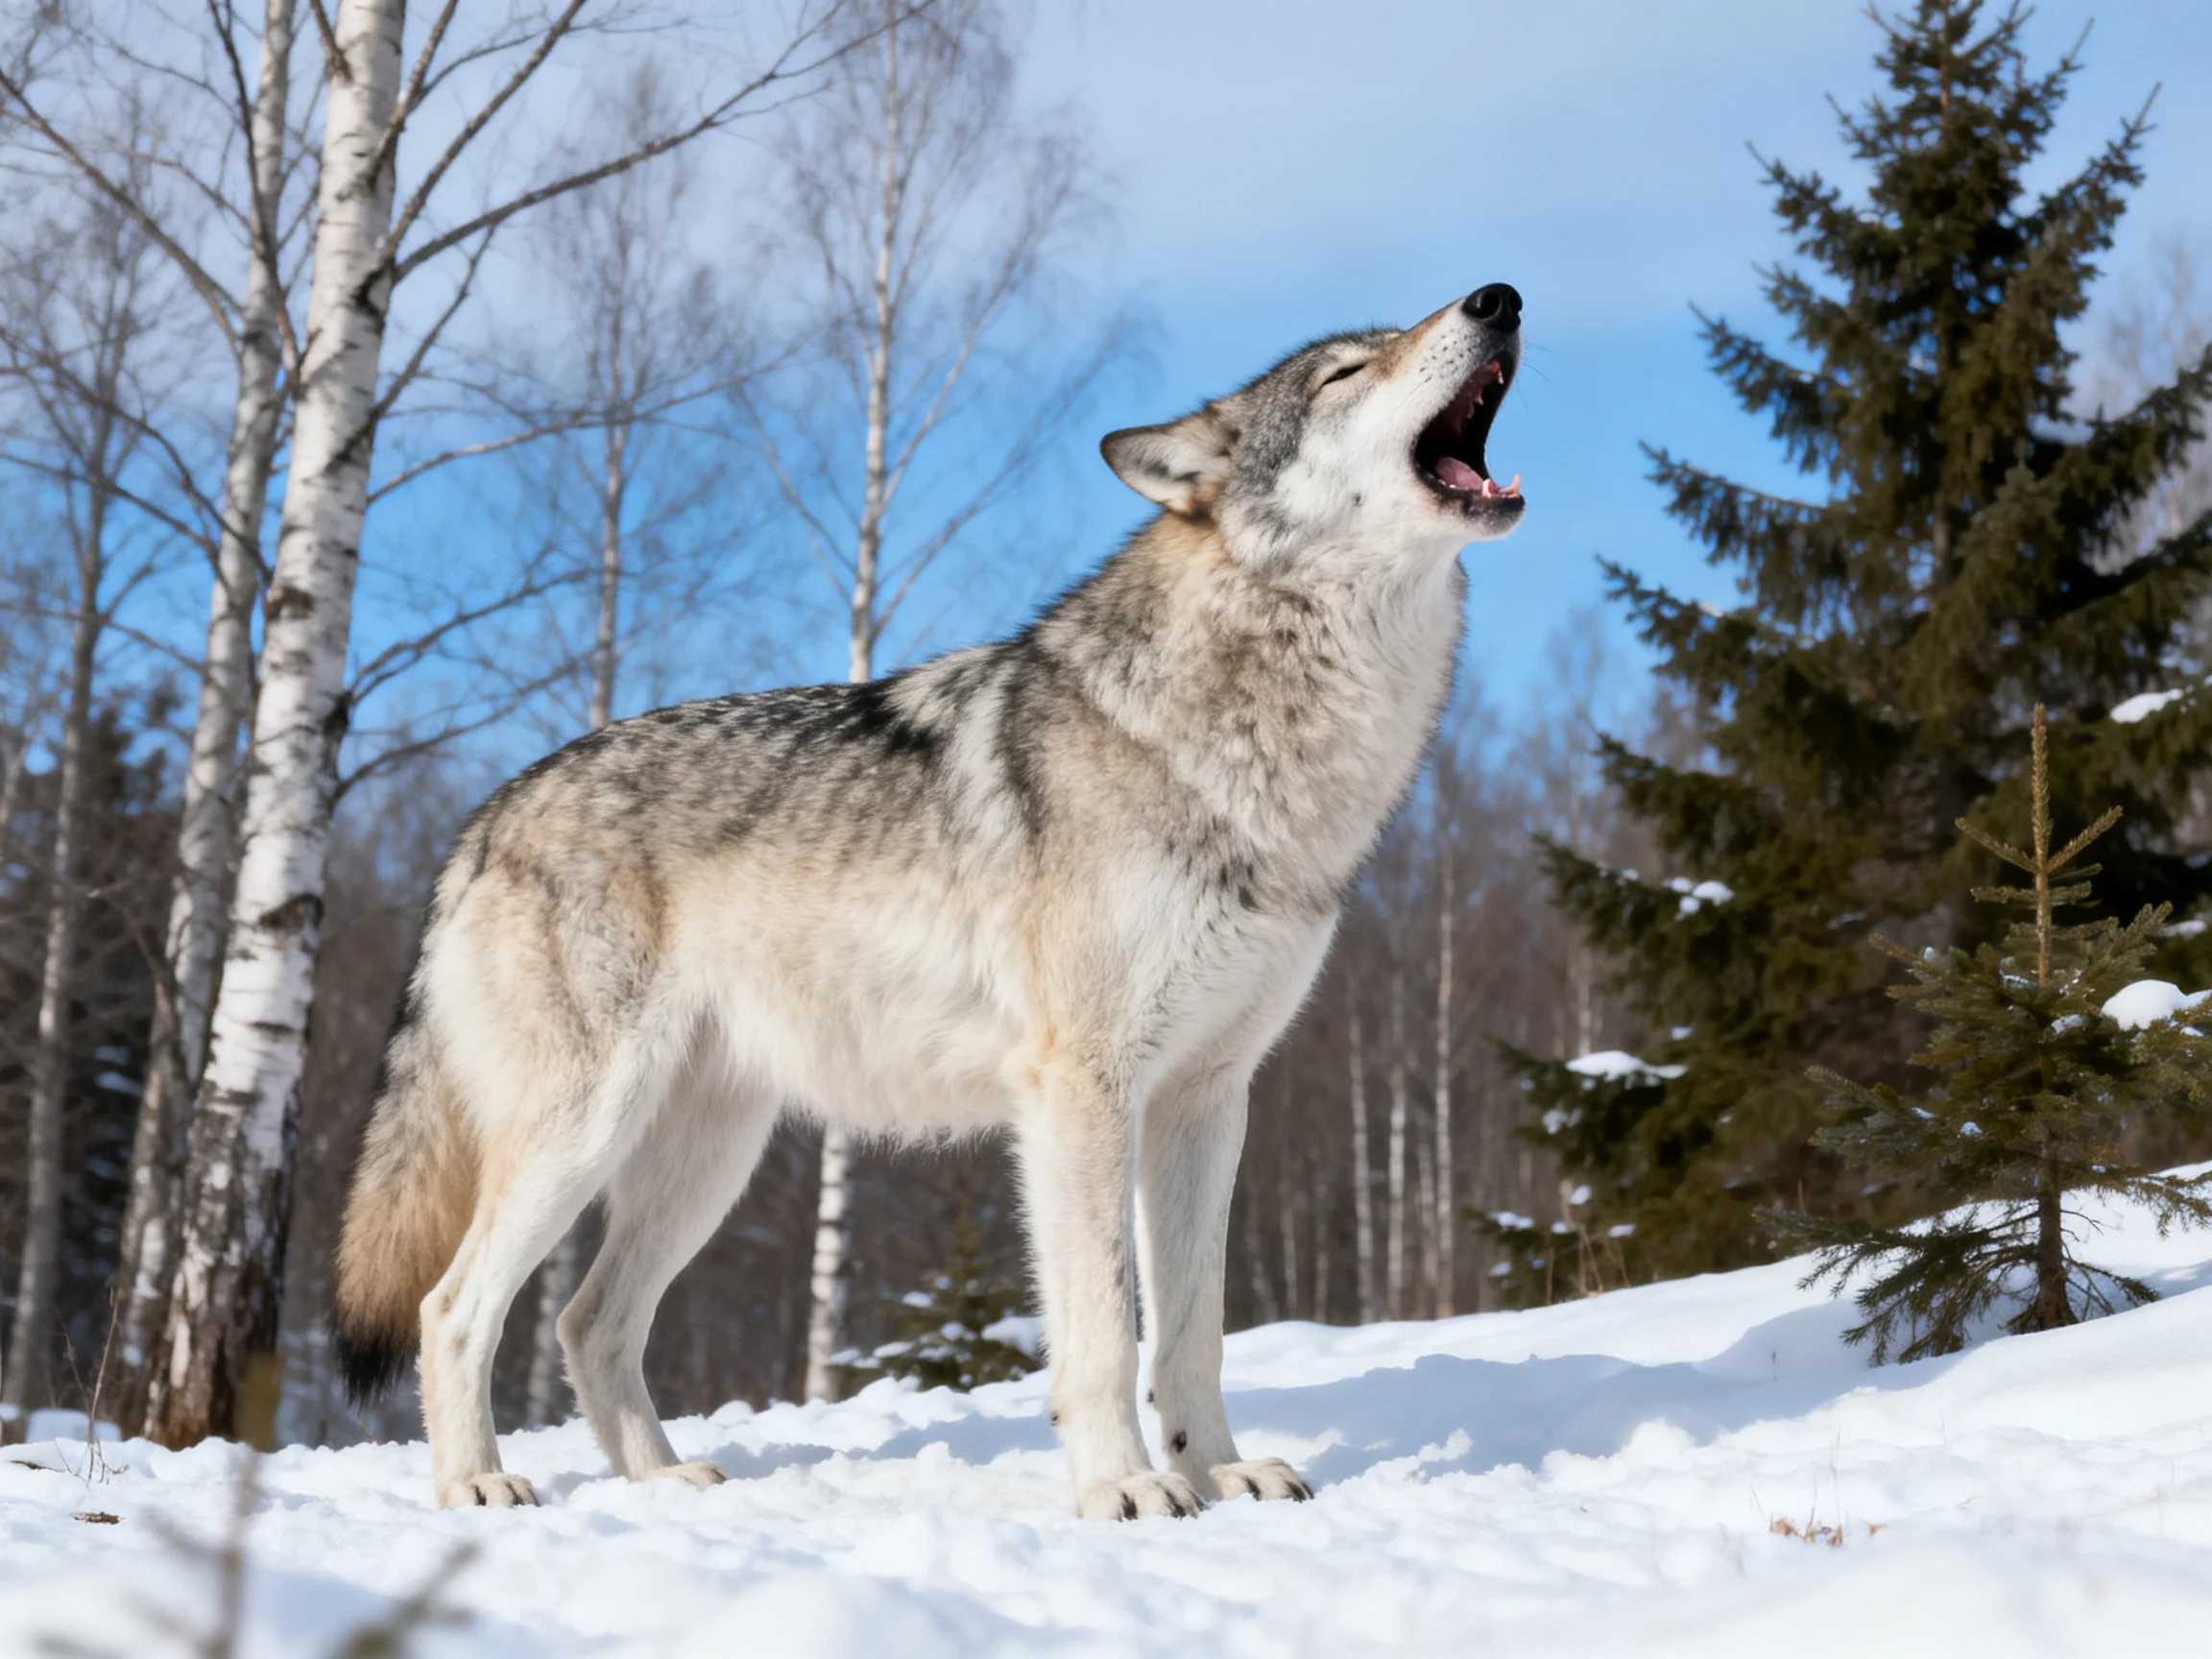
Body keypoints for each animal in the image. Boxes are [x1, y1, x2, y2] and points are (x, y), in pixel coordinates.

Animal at [333, 282, 1525, 1518]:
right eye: (1345, 373)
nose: (1498, 299)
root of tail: (483, 818)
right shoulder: (1079, 1092)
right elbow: (1105, 1323)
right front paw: (1123, 1488)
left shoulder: (1207, 1098)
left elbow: (1193, 1327)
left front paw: (1219, 1470)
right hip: (582, 1135)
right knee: (451, 1308)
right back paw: (479, 1487)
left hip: (706, 1160)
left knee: (587, 1320)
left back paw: (666, 1482)